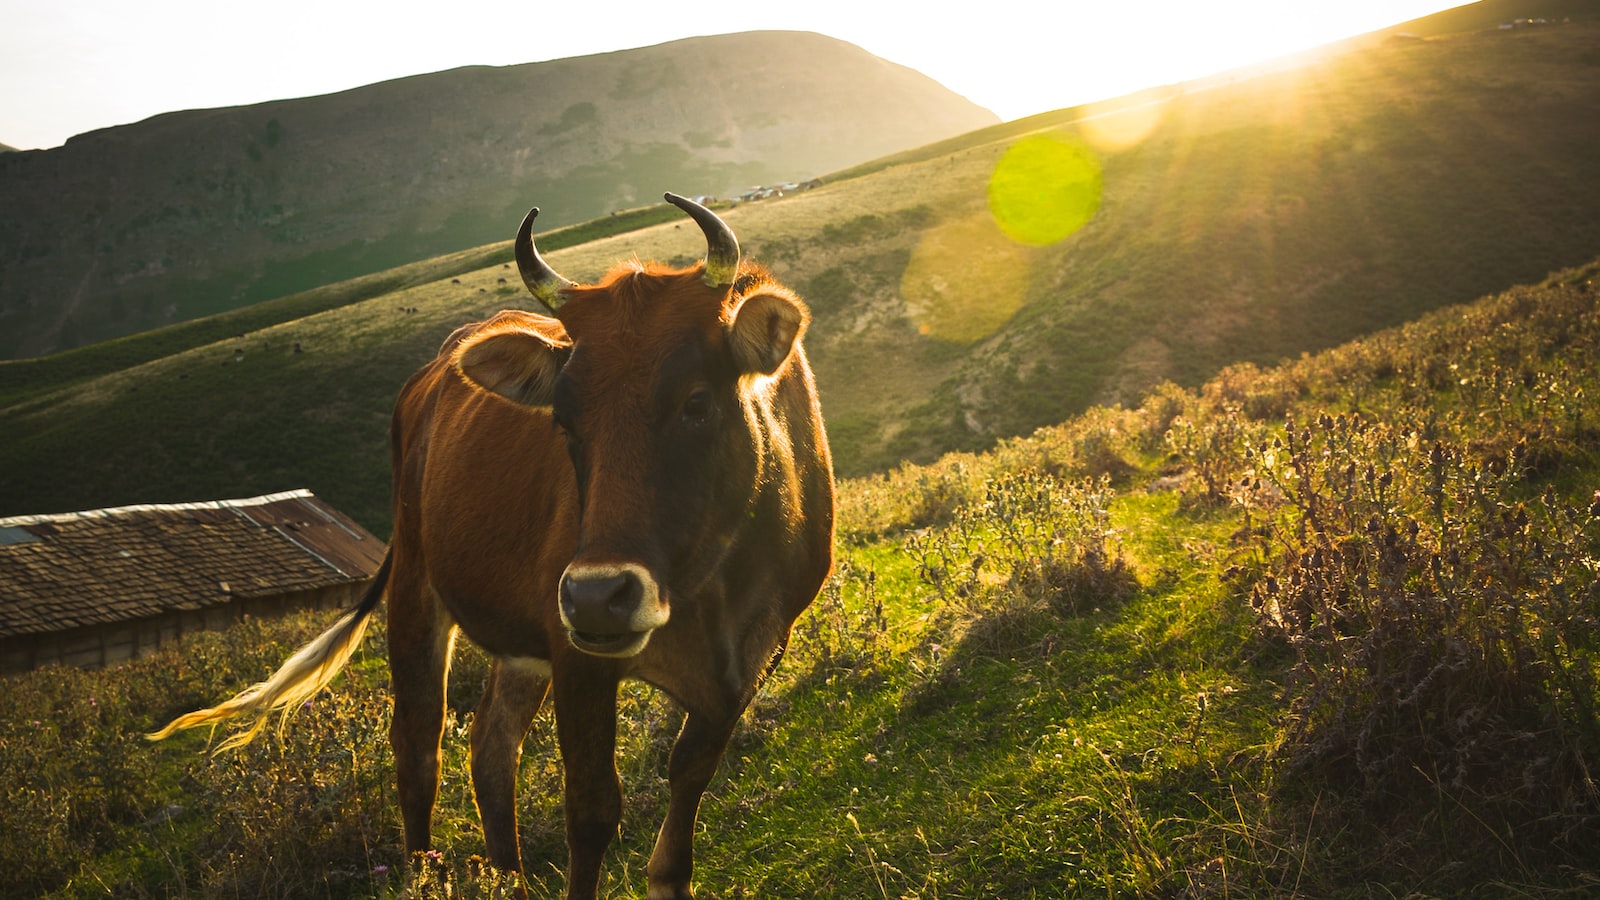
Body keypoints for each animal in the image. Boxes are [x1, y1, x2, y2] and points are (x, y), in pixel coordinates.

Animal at [150, 192, 838, 890]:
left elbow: (685, 794)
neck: (707, 589)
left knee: (491, 746)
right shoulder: (577, 657)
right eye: (564, 419)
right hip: (418, 588)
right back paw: (422, 872)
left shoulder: (751, 660)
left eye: (697, 402)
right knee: (419, 744)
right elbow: (592, 811)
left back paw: (509, 876)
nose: (599, 598)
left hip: (521, 644)